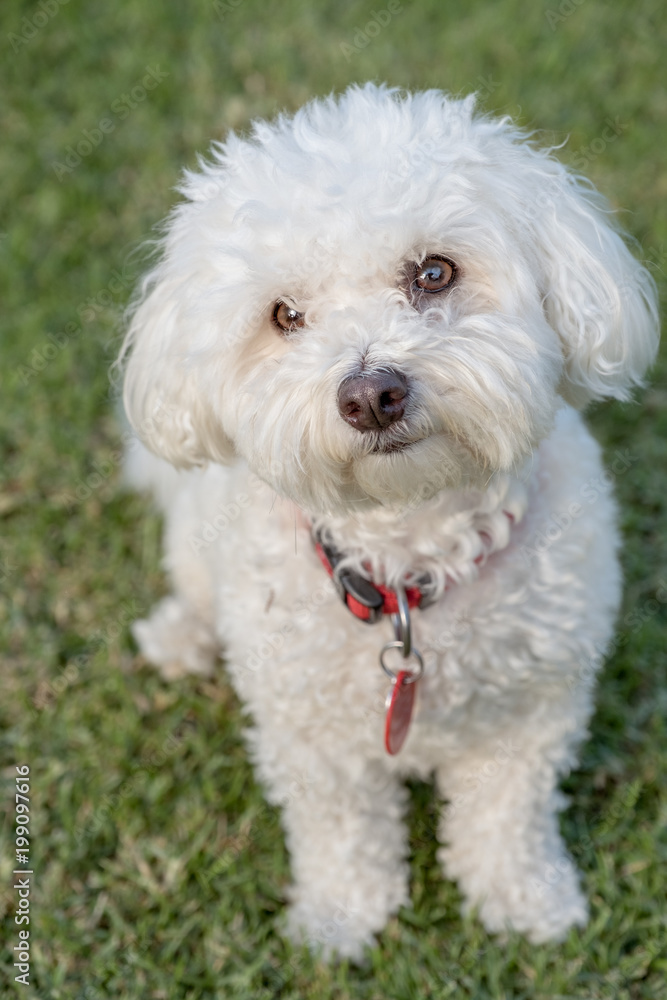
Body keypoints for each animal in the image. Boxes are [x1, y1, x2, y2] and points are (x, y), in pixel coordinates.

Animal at [117, 86, 660, 960]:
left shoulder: (533, 713)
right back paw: (181, 636)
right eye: (285, 315)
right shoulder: (311, 738)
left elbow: (506, 818)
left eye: (434, 272)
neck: (412, 558)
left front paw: (523, 902)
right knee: (192, 587)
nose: (370, 394)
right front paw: (341, 920)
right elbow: (341, 834)